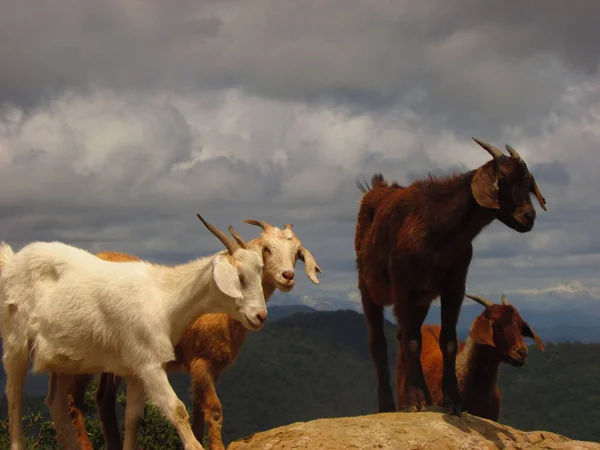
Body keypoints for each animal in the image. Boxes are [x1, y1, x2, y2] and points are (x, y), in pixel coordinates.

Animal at [0, 214, 268, 450]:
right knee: (14, 394)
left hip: (65, 357)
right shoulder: (150, 365)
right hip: (16, 339)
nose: (260, 316)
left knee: (56, 402)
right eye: (240, 278)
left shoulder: (135, 370)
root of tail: (12, 261)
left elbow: (133, 419)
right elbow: (177, 409)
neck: (164, 297)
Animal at [356, 139, 548, 416]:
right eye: (501, 179)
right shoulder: (404, 287)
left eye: (528, 183)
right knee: (379, 343)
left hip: (422, 302)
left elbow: (446, 341)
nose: (528, 217)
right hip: (368, 288)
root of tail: (376, 189)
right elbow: (412, 341)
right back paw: (388, 405)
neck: (439, 227)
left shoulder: (454, 286)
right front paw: (416, 399)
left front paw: (452, 402)